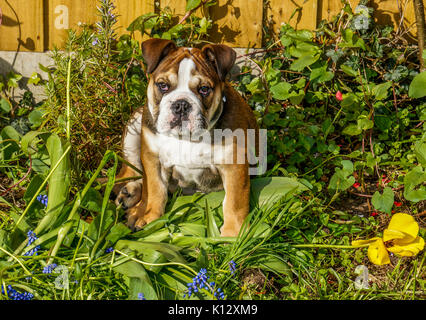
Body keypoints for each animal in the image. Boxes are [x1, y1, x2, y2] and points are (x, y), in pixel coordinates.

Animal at [115, 38, 258, 236]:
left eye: (204, 89)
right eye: (163, 85)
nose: (181, 104)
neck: (186, 138)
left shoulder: (234, 165)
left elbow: (234, 202)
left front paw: (233, 234)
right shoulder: (153, 159)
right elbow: (155, 190)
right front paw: (150, 217)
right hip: (134, 127)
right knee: (132, 173)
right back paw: (132, 196)